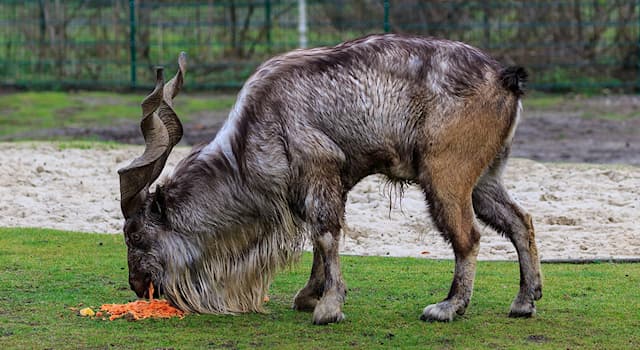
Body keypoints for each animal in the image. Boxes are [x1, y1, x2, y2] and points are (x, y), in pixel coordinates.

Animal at [119, 34, 540, 324]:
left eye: (135, 236)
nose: (138, 286)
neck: (259, 124)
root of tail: (504, 78)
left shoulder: (320, 170)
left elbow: (325, 234)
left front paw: (329, 307)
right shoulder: (327, 184)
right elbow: (319, 238)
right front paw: (310, 295)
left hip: (444, 175)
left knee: (468, 237)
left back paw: (449, 307)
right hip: (484, 178)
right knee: (519, 220)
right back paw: (525, 300)